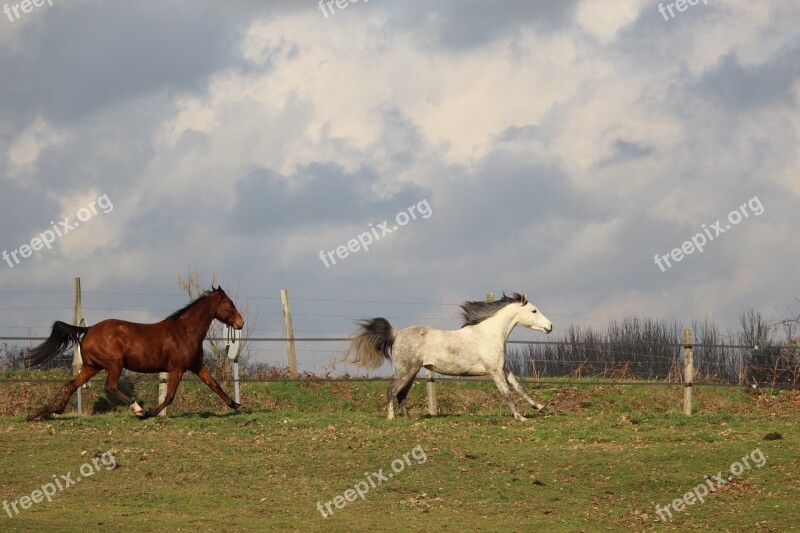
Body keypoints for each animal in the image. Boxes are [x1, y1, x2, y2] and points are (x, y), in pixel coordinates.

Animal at [25, 284, 244, 418]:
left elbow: (214, 385)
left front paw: (237, 406)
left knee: (72, 384)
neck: (185, 331)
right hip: (115, 364)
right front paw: (150, 413)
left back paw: (50, 412)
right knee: (110, 386)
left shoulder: (196, 365)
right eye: (230, 304)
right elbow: (169, 396)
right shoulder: (177, 368)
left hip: (91, 366)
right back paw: (138, 409)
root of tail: (88, 329)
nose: (240, 323)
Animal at [346, 290, 552, 420]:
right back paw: (391, 417)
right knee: (392, 391)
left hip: (412, 372)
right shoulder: (494, 370)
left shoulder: (504, 368)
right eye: (534, 310)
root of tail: (396, 333)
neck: (490, 334)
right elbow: (506, 393)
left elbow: (519, 387)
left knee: (401, 394)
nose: (550, 326)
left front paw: (540, 407)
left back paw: (407, 417)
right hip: (406, 371)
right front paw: (520, 417)